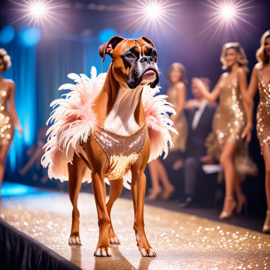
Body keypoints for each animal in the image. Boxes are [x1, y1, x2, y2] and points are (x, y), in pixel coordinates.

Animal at [68, 36, 159, 258]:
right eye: (130, 55)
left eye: (153, 53)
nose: (147, 60)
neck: (125, 104)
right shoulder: (97, 175)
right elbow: (101, 215)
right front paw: (101, 246)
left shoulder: (139, 176)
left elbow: (138, 216)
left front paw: (145, 246)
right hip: (75, 179)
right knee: (77, 208)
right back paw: (75, 236)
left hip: (117, 183)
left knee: (108, 206)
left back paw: (112, 235)